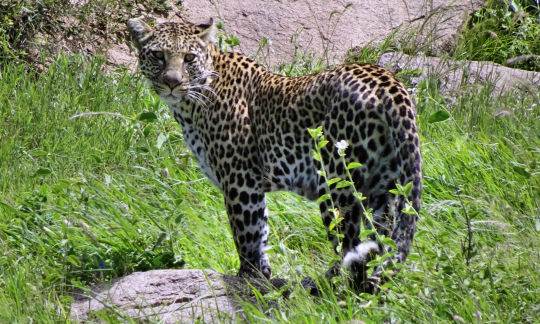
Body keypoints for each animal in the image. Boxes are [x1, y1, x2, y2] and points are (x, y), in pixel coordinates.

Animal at [129, 16, 424, 292]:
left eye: (189, 58)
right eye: (158, 55)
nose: (172, 82)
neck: (191, 104)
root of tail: (389, 83)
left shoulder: (240, 181)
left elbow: (247, 235)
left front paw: (247, 281)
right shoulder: (250, 186)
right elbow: (261, 233)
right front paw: (263, 280)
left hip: (337, 185)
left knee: (352, 250)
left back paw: (334, 290)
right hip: (385, 189)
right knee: (382, 244)